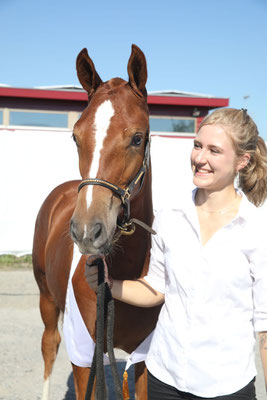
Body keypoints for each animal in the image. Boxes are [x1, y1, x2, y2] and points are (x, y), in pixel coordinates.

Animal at [32, 44, 160, 400]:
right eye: (75, 137)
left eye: (137, 138)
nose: (87, 231)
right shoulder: (83, 355)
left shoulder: (141, 357)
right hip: (47, 297)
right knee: (49, 345)